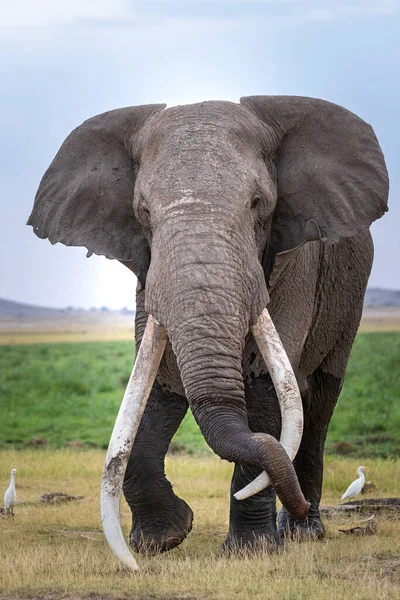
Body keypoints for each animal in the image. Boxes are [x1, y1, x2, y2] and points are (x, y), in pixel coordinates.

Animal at [27, 96, 388, 568]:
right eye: (143, 213)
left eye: (258, 203)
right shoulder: (148, 273)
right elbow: (155, 385)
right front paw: (162, 539)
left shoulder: (294, 265)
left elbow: (264, 393)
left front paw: (251, 551)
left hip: (349, 301)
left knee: (320, 403)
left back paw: (303, 532)